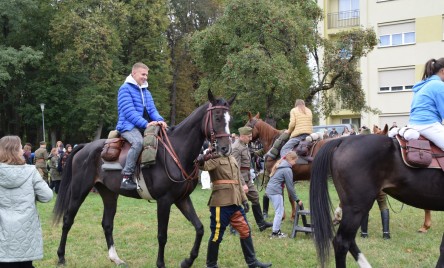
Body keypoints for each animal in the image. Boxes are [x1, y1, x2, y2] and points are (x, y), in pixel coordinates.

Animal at [53, 90, 236, 268]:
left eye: (229, 119)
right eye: (217, 117)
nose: (225, 148)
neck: (176, 152)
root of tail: (85, 147)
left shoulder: (182, 199)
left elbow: (200, 228)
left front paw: (188, 261)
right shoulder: (164, 201)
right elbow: (162, 235)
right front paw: (160, 263)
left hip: (109, 194)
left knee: (107, 224)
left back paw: (115, 258)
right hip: (79, 192)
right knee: (68, 221)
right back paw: (61, 257)